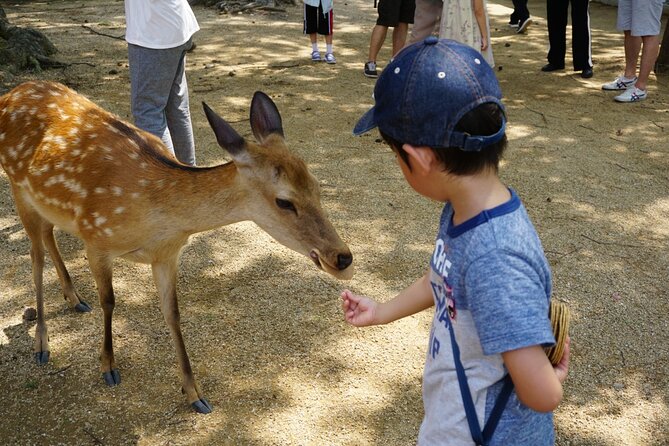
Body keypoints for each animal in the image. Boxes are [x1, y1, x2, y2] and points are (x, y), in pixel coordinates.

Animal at [0, 80, 353, 414]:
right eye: (284, 201)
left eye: (316, 185)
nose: (343, 258)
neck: (159, 217)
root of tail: (10, 94)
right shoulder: (96, 237)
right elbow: (110, 302)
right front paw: (108, 367)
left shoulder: (167, 254)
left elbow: (172, 313)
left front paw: (194, 393)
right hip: (18, 186)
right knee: (35, 254)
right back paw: (42, 344)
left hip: (45, 204)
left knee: (48, 236)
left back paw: (74, 299)